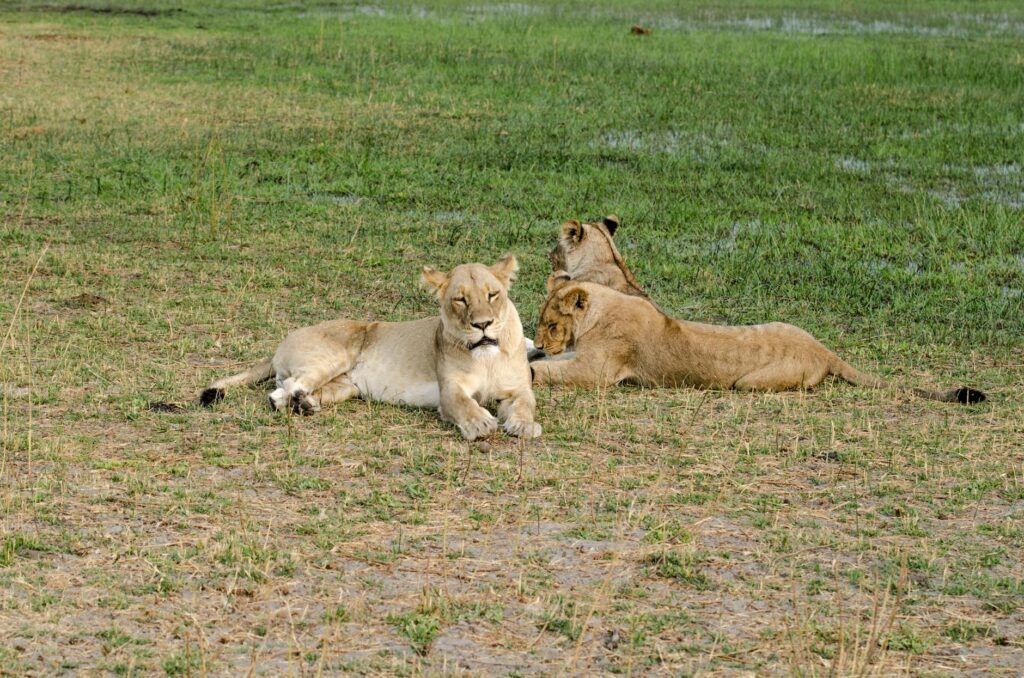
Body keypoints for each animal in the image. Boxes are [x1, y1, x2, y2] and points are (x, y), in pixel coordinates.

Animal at [199, 256, 542, 440]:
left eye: (493, 294)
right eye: (460, 299)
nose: (483, 325)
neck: (486, 357)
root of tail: (281, 343)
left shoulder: (519, 388)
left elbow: (527, 403)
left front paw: (523, 425)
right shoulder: (449, 391)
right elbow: (463, 405)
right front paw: (480, 423)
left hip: (345, 386)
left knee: (285, 391)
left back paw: (304, 405)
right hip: (335, 355)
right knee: (288, 386)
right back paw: (299, 402)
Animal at [530, 272, 986, 404]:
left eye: (552, 325)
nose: (546, 341)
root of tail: (822, 348)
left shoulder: (598, 370)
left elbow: (553, 373)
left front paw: (533, 367)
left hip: (749, 382)